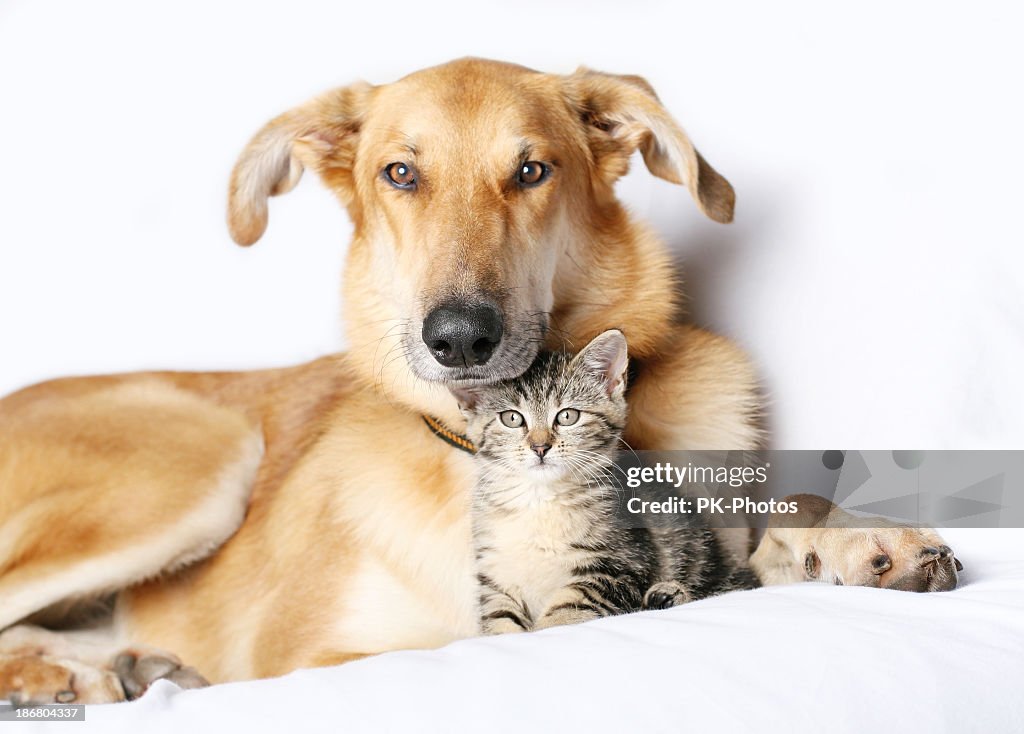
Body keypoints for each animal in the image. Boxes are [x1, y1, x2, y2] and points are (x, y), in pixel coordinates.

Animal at [452, 329, 757, 634]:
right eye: (512, 418)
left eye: (567, 416)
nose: (540, 447)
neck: (541, 500)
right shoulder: (494, 576)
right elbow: (499, 621)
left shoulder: (623, 563)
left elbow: (569, 607)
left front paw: (550, 627)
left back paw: (667, 594)